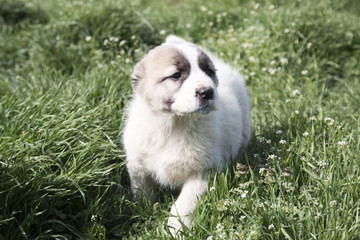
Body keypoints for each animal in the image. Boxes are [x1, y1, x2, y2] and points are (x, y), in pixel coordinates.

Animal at [123, 35, 250, 232]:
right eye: (176, 75)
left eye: (209, 72)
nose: (207, 92)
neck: (174, 125)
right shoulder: (138, 164)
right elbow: (142, 190)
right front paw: (146, 210)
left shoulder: (204, 171)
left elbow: (184, 204)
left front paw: (176, 229)